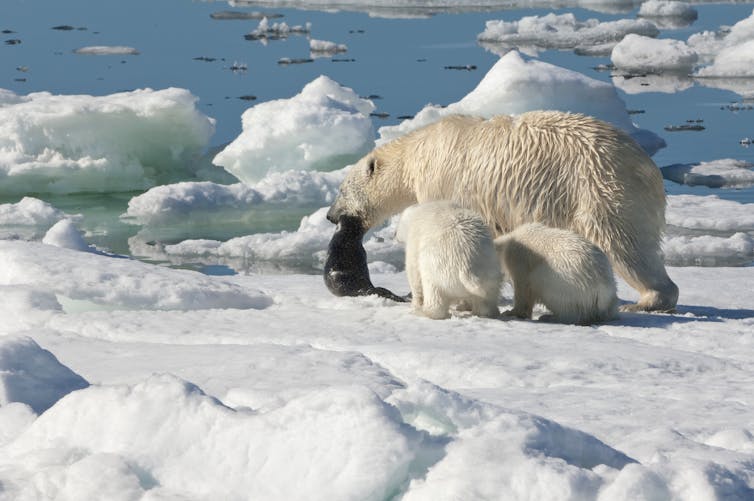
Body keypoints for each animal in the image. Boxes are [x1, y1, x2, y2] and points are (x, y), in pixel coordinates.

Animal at [326, 111, 678, 312]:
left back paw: (648, 300)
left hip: (603, 190)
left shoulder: (443, 181)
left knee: (626, 246)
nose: (330, 216)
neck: (418, 152)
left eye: (341, 190)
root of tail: (648, 167)